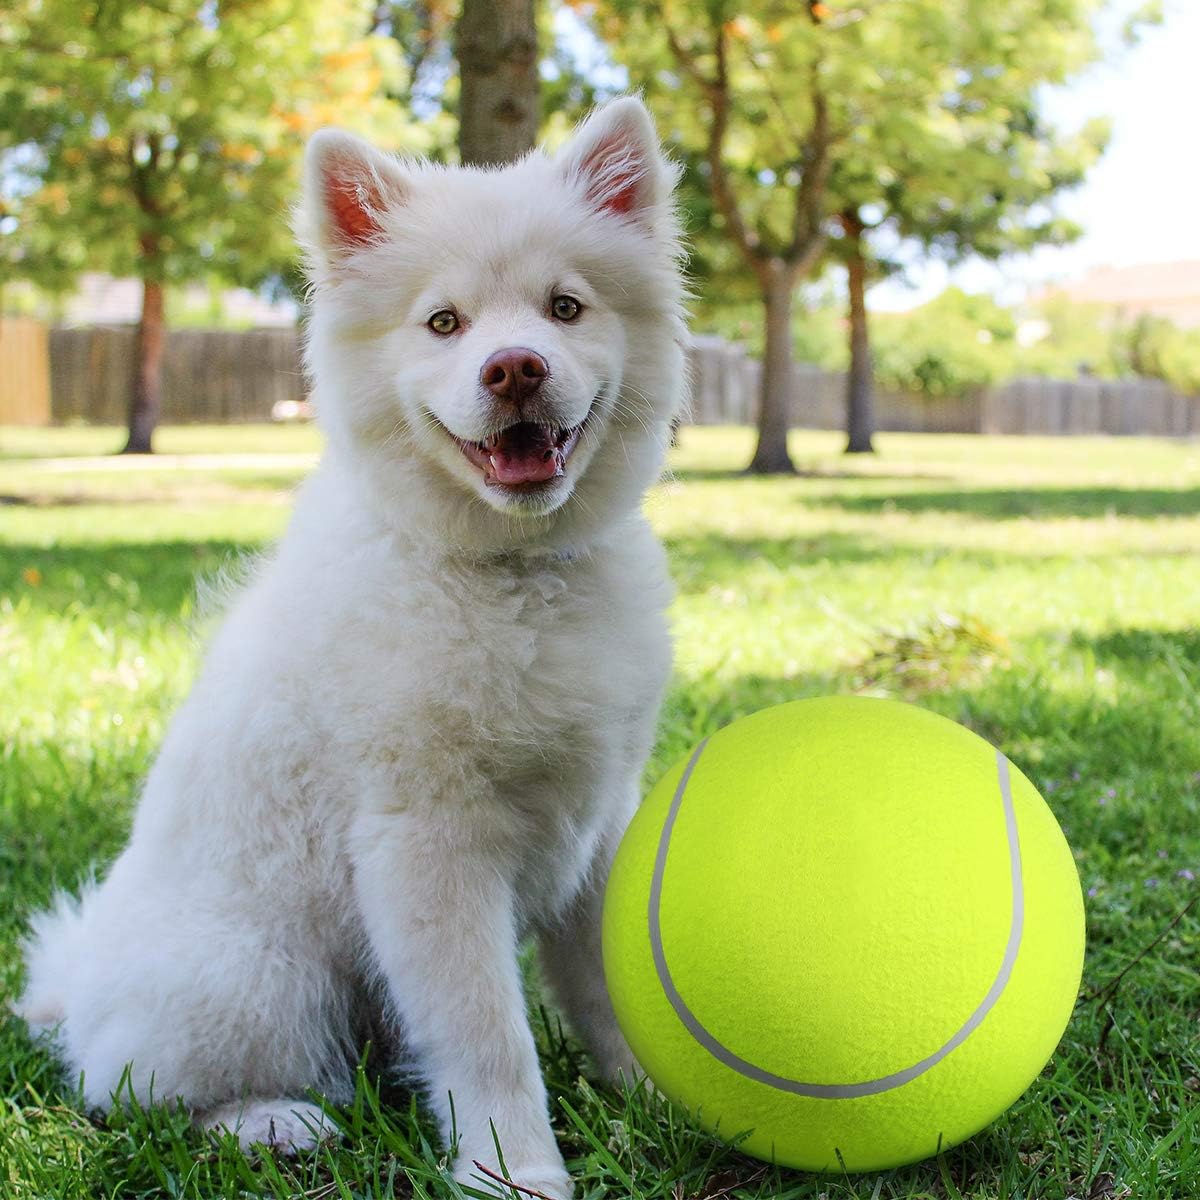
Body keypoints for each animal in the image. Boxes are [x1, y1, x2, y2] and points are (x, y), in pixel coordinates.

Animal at [21, 98, 686, 1195]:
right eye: (444, 323)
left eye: (565, 308)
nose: (515, 368)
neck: (511, 574)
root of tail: (74, 991)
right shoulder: (428, 844)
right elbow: (487, 1034)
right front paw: (515, 1169)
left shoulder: (599, 821)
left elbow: (604, 984)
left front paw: (661, 1103)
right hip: (262, 980)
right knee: (135, 1091)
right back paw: (274, 1123)